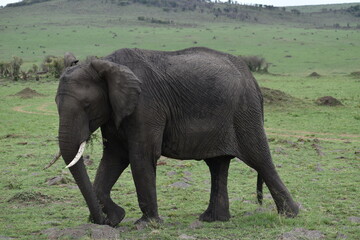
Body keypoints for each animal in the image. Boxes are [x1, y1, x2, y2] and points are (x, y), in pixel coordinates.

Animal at [55, 47, 298, 227]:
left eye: (87, 106)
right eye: (56, 104)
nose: (101, 220)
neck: (107, 63)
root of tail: (254, 81)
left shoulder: (146, 106)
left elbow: (141, 156)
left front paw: (146, 224)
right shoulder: (116, 111)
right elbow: (114, 158)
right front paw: (115, 219)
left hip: (244, 111)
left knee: (259, 158)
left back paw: (290, 215)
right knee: (217, 165)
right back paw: (212, 219)